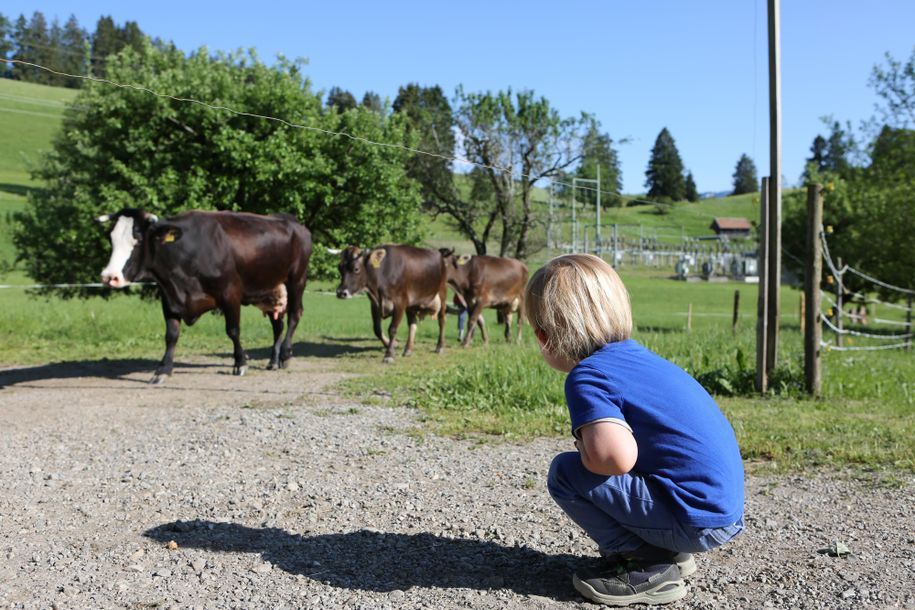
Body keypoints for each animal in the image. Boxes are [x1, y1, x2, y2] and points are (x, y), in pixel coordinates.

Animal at [97, 208, 312, 380]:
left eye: (138, 239)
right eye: (111, 239)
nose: (109, 276)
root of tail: (294, 223)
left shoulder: (230, 292)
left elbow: (233, 330)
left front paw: (240, 363)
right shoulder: (169, 298)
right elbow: (171, 335)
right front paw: (163, 369)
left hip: (297, 279)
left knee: (294, 315)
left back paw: (285, 355)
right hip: (271, 289)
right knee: (277, 324)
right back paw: (273, 360)